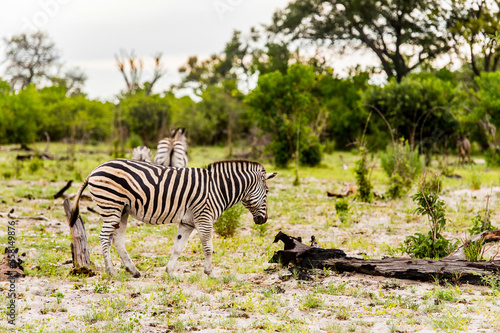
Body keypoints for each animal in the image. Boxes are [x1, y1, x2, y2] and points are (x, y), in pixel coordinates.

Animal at [68, 158, 278, 278]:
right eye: (267, 192)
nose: (264, 220)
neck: (218, 188)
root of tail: (96, 168)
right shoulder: (204, 217)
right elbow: (208, 248)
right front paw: (210, 273)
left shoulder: (187, 222)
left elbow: (178, 247)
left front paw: (168, 272)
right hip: (112, 206)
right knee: (104, 238)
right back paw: (111, 272)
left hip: (123, 210)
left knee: (117, 240)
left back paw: (133, 271)